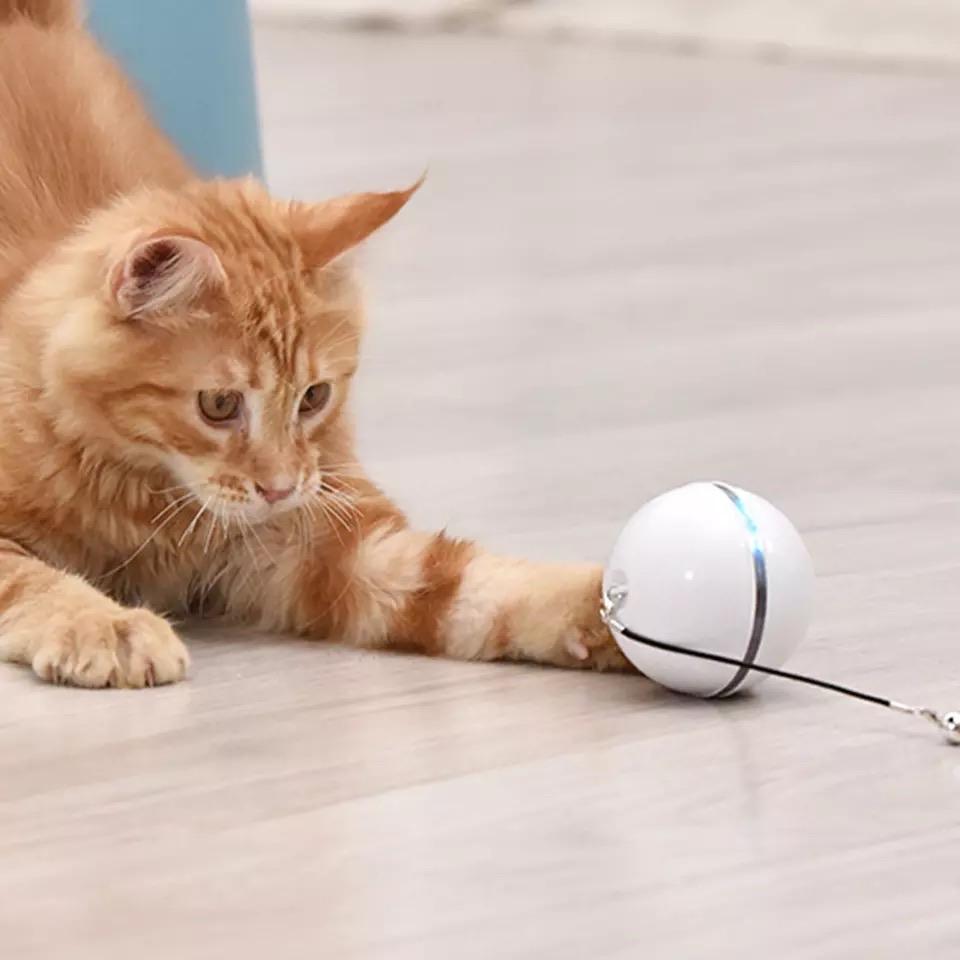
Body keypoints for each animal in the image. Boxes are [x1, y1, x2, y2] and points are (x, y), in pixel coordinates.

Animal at [0, 1, 632, 688]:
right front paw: (106, 623)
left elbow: (473, 585)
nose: (278, 488)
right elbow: (33, 580)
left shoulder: (312, 544)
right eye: (219, 406)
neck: (144, 491)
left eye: (313, 397)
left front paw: (613, 613)